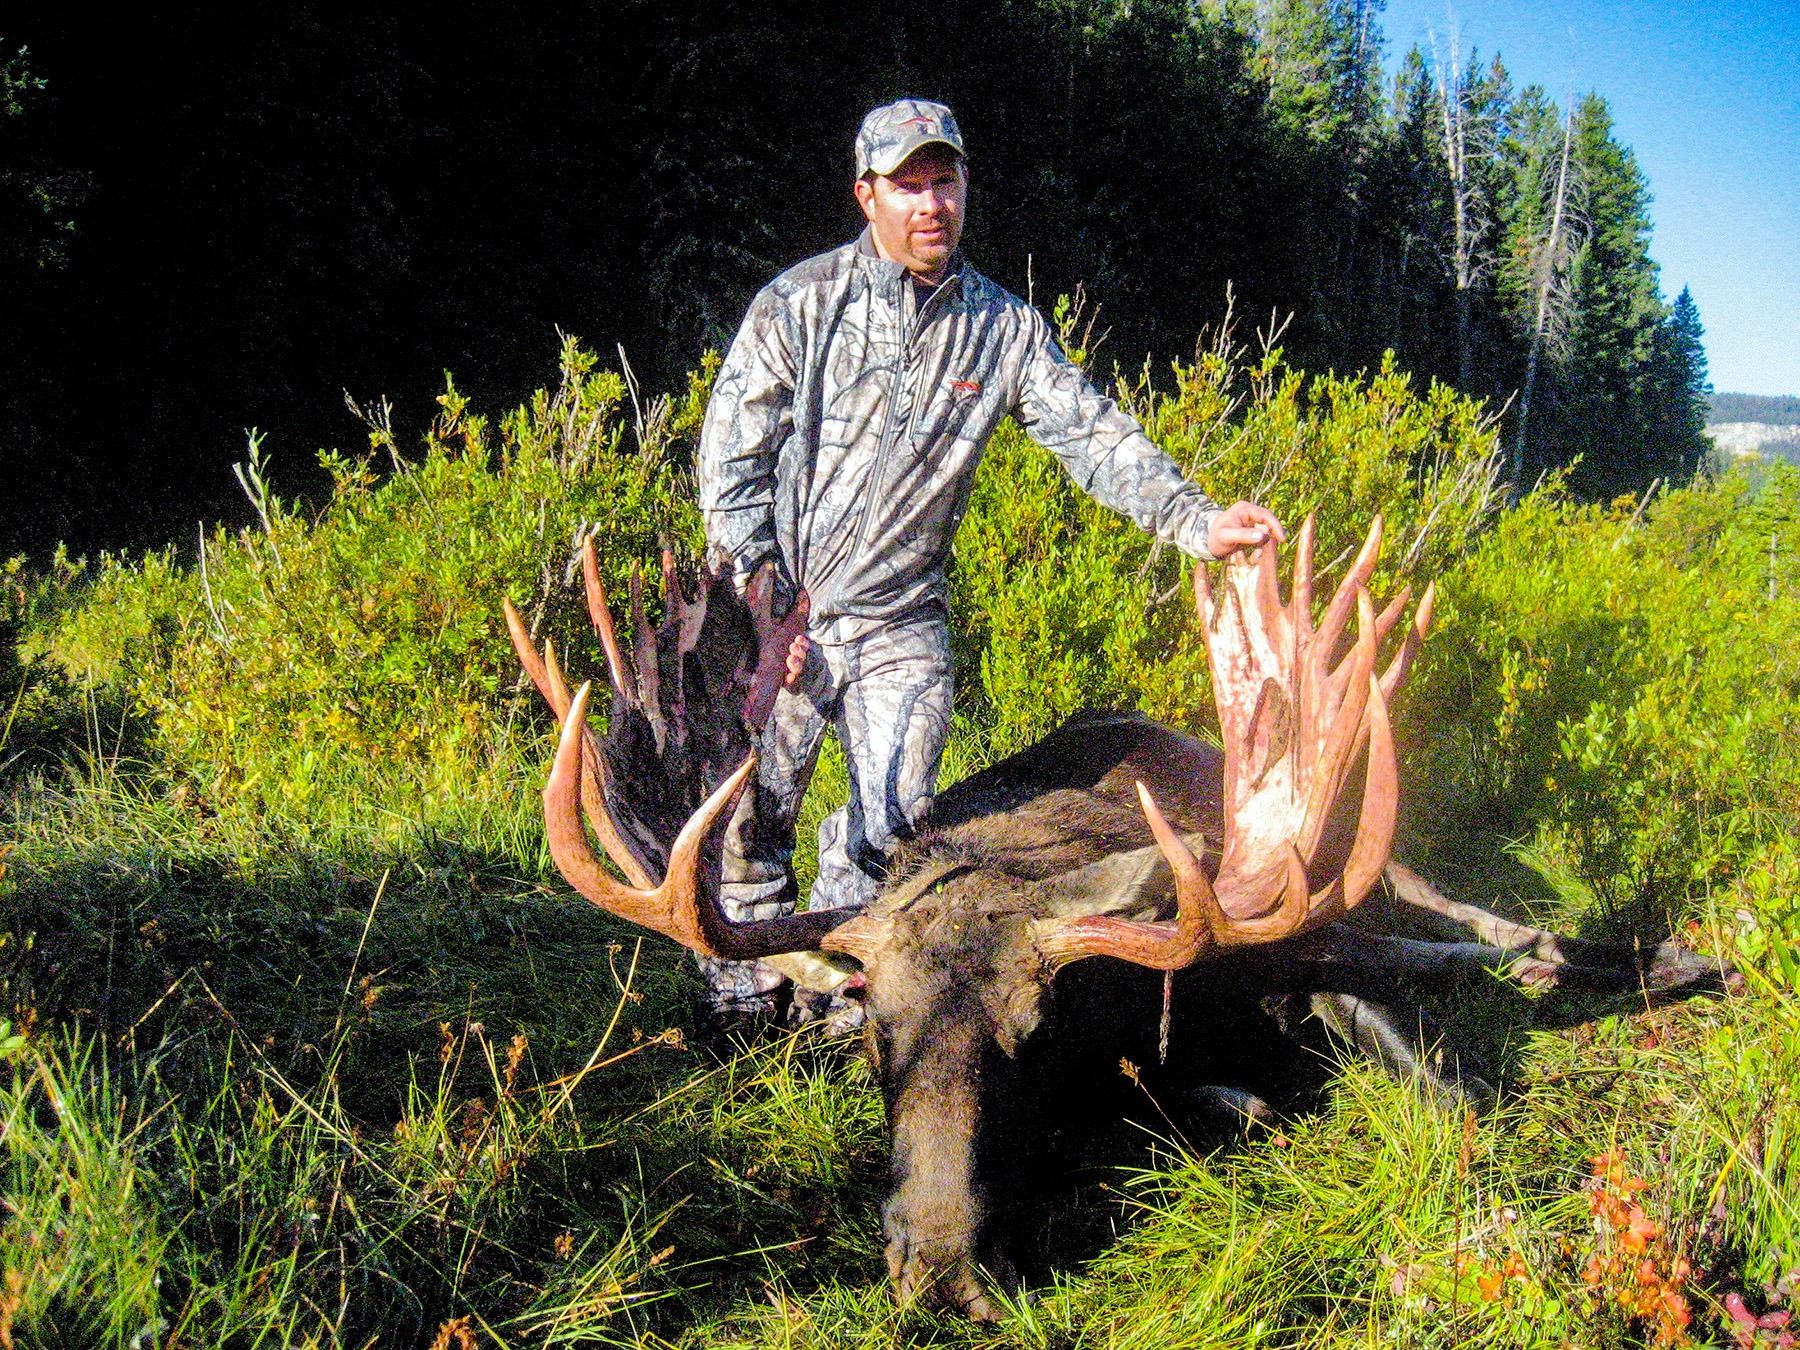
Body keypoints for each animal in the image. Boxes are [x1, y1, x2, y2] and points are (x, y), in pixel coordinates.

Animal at [503, 516, 1729, 1320]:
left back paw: (1678, 957)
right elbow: (1230, 1103)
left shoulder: (1300, 950)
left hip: (1369, 863)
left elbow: (1447, 1091)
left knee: (1486, 927)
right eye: (873, 1036)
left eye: (1036, 1032)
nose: (941, 1273)